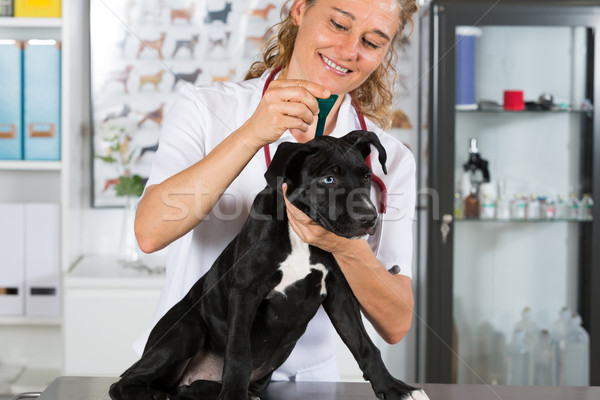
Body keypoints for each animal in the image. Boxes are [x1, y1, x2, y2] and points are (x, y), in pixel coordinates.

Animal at [108, 130, 426, 398]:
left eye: (366, 177)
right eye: (328, 180)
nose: (369, 218)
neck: (301, 237)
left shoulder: (340, 296)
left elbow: (366, 346)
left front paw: (393, 388)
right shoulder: (246, 290)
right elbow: (239, 352)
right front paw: (233, 395)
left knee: (188, 389)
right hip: (188, 328)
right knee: (122, 382)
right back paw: (155, 394)